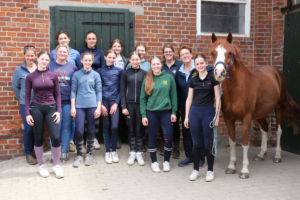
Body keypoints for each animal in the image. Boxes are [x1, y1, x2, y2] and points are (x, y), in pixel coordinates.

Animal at [211, 32, 300, 178]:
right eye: (213, 52)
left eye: (230, 52)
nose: (219, 73)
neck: (236, 88)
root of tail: (276, 72)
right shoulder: (228, 118)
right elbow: (232, 142)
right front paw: (231, 166)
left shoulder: (247, 118)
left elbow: (244, 143)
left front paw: (244, 170)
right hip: (261, 112)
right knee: (264, 128)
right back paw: (261, 154)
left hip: (279, 108)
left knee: (278, 130)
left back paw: (277, 156)